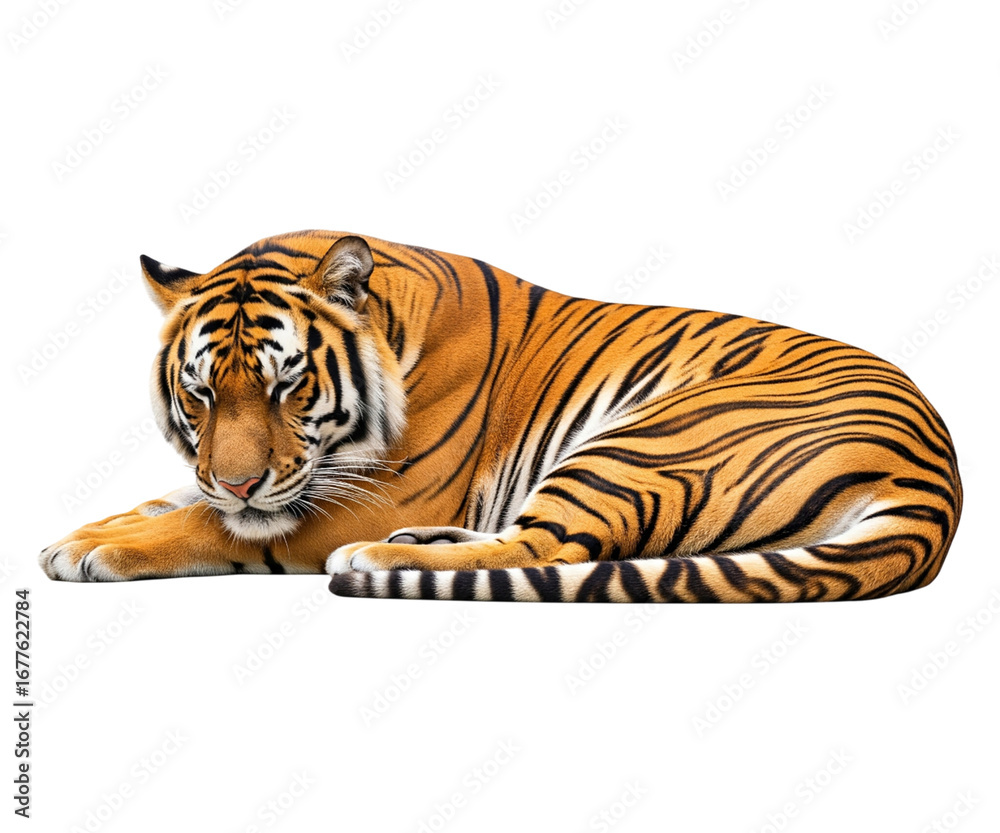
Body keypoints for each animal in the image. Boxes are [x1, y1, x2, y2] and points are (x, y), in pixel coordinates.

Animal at [39, 230, 962, 603]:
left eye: (287, 387)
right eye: (201, 392)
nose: (238, 480)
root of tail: (937, 477)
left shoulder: (372, 493)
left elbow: (211, 523)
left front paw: (93, 549)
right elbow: (174, 497)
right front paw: (87, 527)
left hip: (642, 438)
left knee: (550, 547)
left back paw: (378, 556)